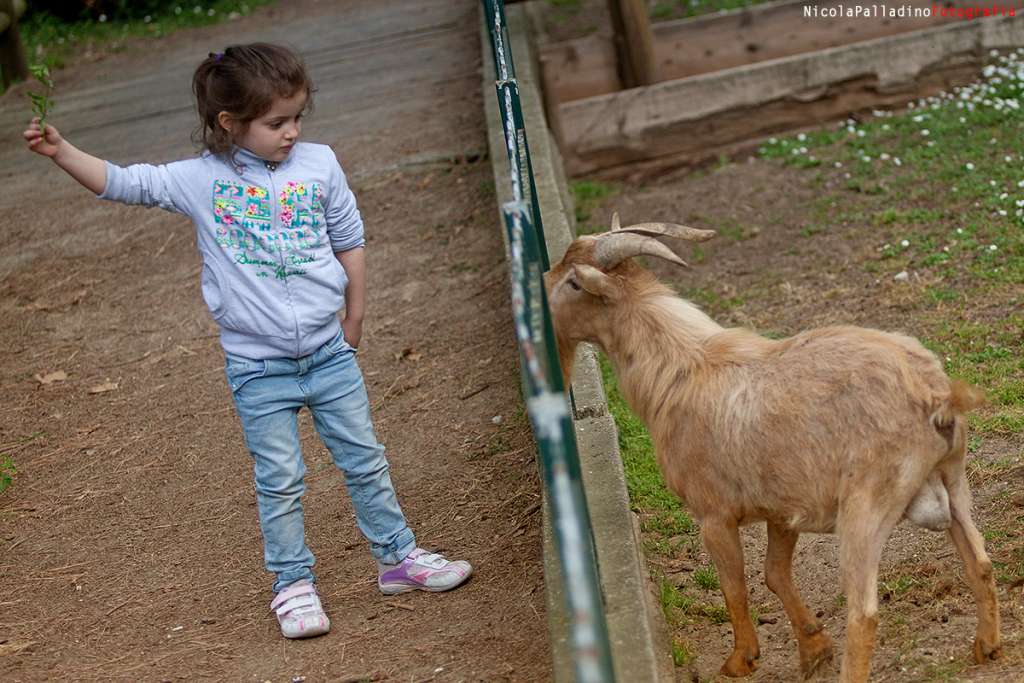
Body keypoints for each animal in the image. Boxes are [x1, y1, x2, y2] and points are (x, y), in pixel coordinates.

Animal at [548, 215, 1003, 683]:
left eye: (572, 283)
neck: (679, 371)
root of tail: (934, 395)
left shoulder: (714, 515)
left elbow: (735, 585)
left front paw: (740, 660)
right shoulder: (783, 510)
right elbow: (774, 574)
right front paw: (813, 649)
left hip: (866, 506)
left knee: (864, 611)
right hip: (954, 480)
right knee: (980, 562)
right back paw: (986, 647)